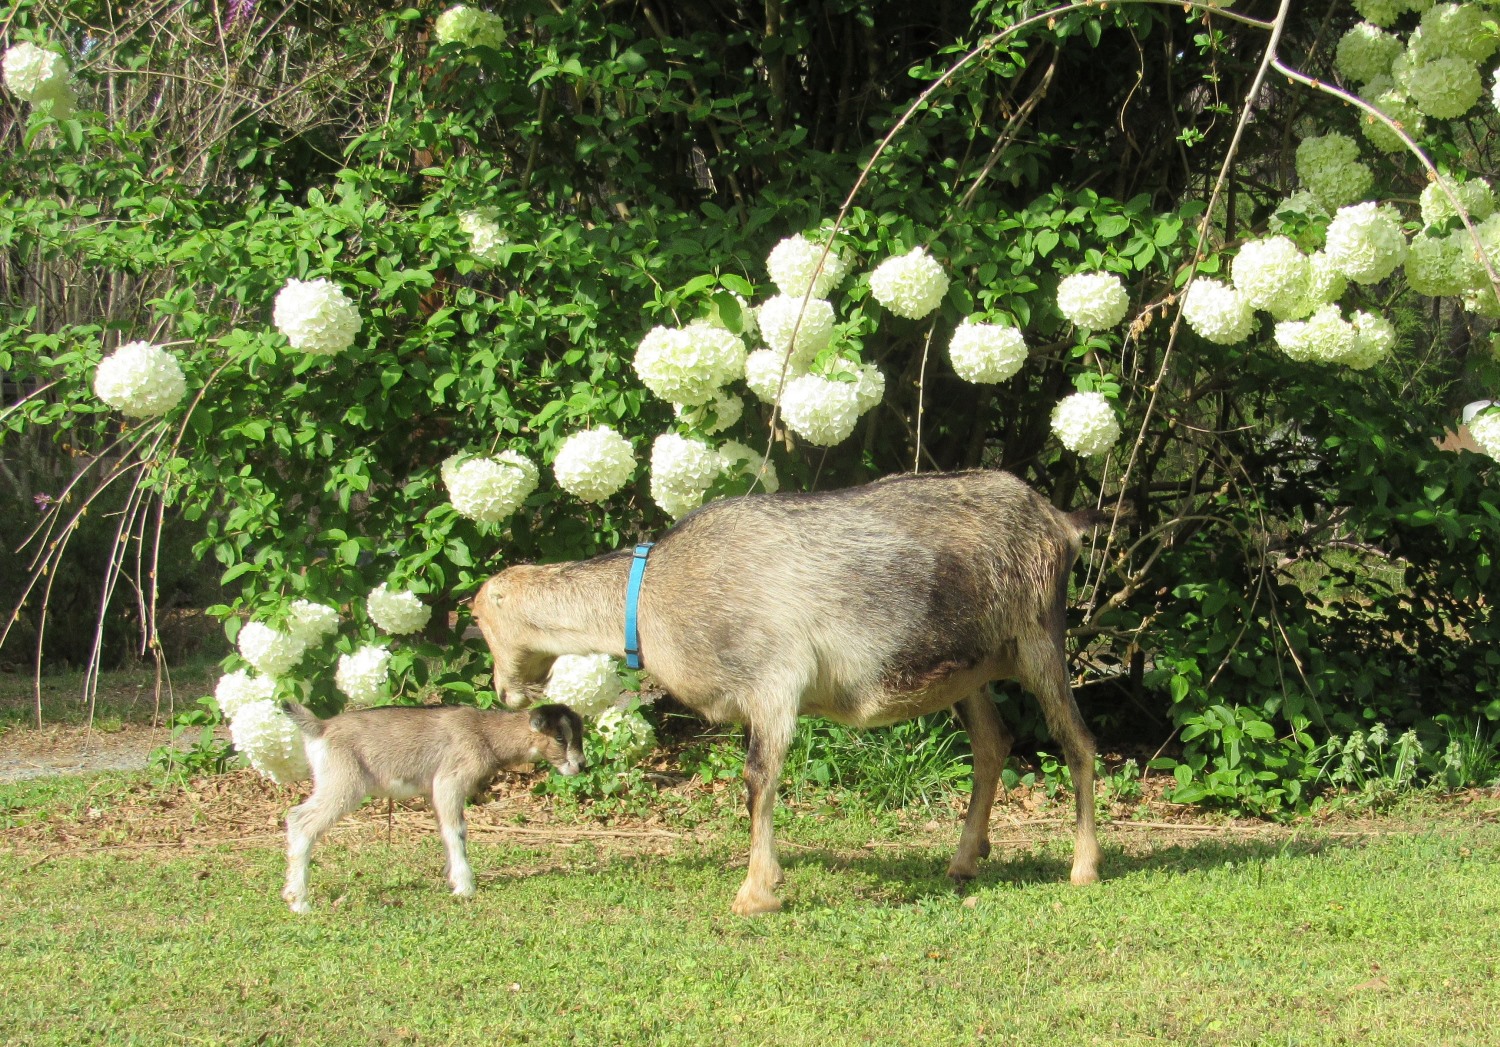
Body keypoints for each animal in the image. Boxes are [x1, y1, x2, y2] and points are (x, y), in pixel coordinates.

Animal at [282, 696, 585, 912]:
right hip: (343, 782)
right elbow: (457, 830)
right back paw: (299, 902)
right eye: (560, 737)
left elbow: (443, 830)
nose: (581, 765)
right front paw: (465, 887)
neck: (484, 733)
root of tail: (321, 729)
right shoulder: (450, 781)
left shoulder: (434, 791)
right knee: (301, 822)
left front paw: (453, 879)